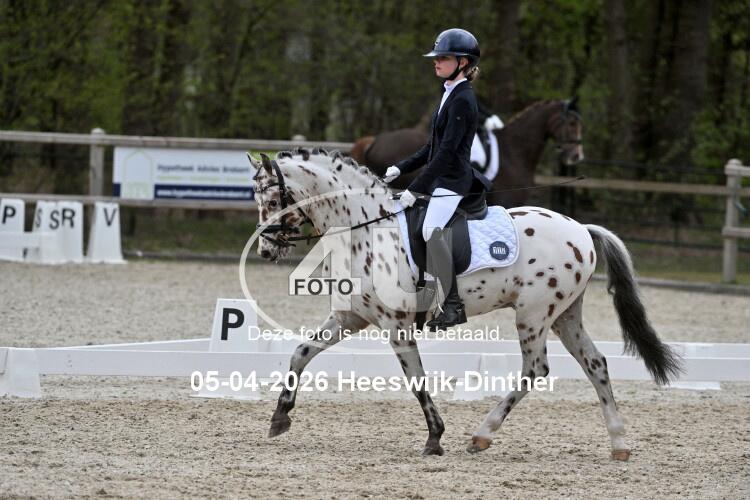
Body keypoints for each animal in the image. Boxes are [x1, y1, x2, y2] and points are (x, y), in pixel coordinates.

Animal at [248, 148, 681, 460]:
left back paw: (481, 435)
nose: (266, 250)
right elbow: (301, 352)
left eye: (274, 199)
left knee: (535, 369)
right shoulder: (350, 316)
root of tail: (582, 231)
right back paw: (619, 444)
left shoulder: (395, 324)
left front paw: (435, 438)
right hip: (564, 315)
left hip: (533, 314)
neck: (365, 230)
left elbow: (416, 379)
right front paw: (279, 417)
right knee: (595, 364)